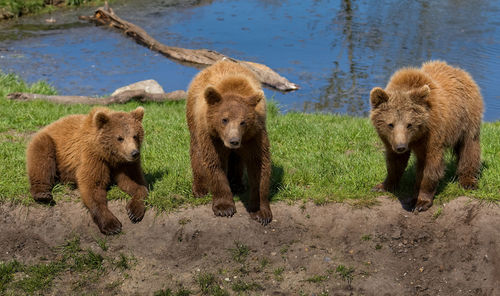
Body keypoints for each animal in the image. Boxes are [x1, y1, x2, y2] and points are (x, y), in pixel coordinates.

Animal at [27, 106, 147, 234]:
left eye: (135, 135)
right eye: (120, 138)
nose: (134, 153)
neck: (110, 156)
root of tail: (50, 125)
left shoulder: (126, 164)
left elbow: (135, 182)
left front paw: (134, 212)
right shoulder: (93, 157)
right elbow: (93, 187)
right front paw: (112, 225)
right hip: (50, 144)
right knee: (42, 159)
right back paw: (43, 195)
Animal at [188, 59, 274, 224]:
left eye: (243, 122)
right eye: (224, 119)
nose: (233, 141)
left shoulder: (254, 135)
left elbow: (259, 165)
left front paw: (261, 212)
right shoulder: (212, 135)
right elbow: (214, 162)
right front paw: (224, 208)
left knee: (237, 158)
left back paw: (237, 184)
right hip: (194, 119)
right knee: (196, 150)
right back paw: (200, 189)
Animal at [370, 60, 482, 210]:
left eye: (409, 124)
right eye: (390, 124)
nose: (401, 147)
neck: (416, 137)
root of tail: (460, 71)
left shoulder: (432, 134)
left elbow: (430, 166)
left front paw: (420, 202)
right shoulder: (390, 140)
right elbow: (395, 163)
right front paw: (383, 186)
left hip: (467, 117)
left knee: (469, 147)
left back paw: (468, 181)